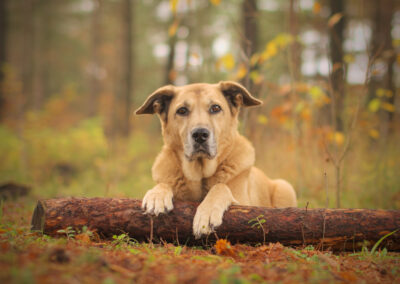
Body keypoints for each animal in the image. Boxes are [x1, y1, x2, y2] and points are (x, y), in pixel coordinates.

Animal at [136, 81, 296, 239]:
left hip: (285, 187)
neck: (200, 173)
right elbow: (163, 183)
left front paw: (207, 213)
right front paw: (157, 196)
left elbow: (220, 186)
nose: (200, 134)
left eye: (215, 108)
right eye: (182, 110)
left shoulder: (246, 204)